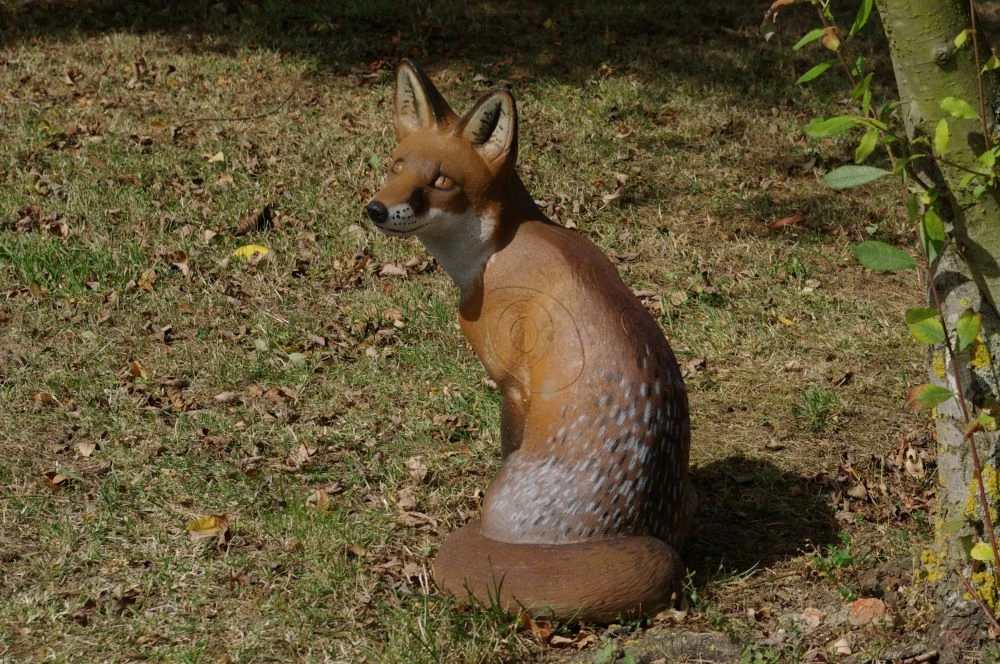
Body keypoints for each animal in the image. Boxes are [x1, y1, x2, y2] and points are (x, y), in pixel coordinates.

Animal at [365, 60, 694, 623]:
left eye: (442, 181)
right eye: (396, 167)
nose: (377, 209)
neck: (496, 249)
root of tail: (642, 535)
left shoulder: (512, 384)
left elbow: (505, 442)